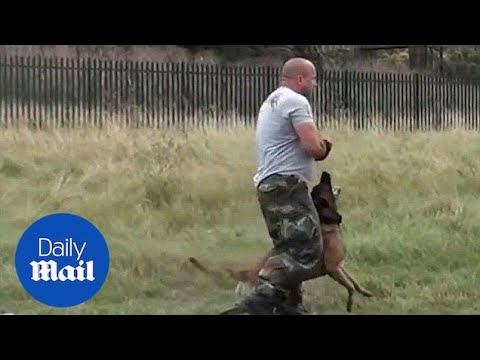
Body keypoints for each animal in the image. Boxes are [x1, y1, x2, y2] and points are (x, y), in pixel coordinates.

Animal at [189, 172, 374, 312]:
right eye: (323, 186)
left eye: (319, 187)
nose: (325, 174)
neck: (325, 222)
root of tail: (246, 272)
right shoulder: (333, 269)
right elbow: (350, 287)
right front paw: (350, 305)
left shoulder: (340, 267)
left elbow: (354, 282)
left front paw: (366, 292)